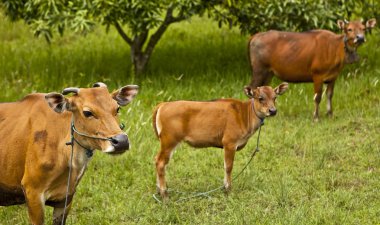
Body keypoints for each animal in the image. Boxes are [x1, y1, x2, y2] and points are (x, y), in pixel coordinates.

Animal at [154, 82, 288, 199]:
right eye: (260, 98)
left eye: (275, 97)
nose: (273, 111)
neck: (244, 114)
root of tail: (163, 104)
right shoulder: (229, 142)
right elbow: (228, 166)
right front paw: (228, 189)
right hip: (169, 140)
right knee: (160, 163)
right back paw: (164, 194)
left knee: (157, 160)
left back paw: (159, 190)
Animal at [248, 18, 376, 121]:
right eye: (349, 29)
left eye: (364, 28)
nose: (360, 38)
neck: (335, 49)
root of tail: (255, 36)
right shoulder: (317, 75)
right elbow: (317, 97)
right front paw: (316, 117)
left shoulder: (333, 77)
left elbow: (329, 95)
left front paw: (330, 114)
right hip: (259, 69)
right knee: (252, 89)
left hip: (268, 72)